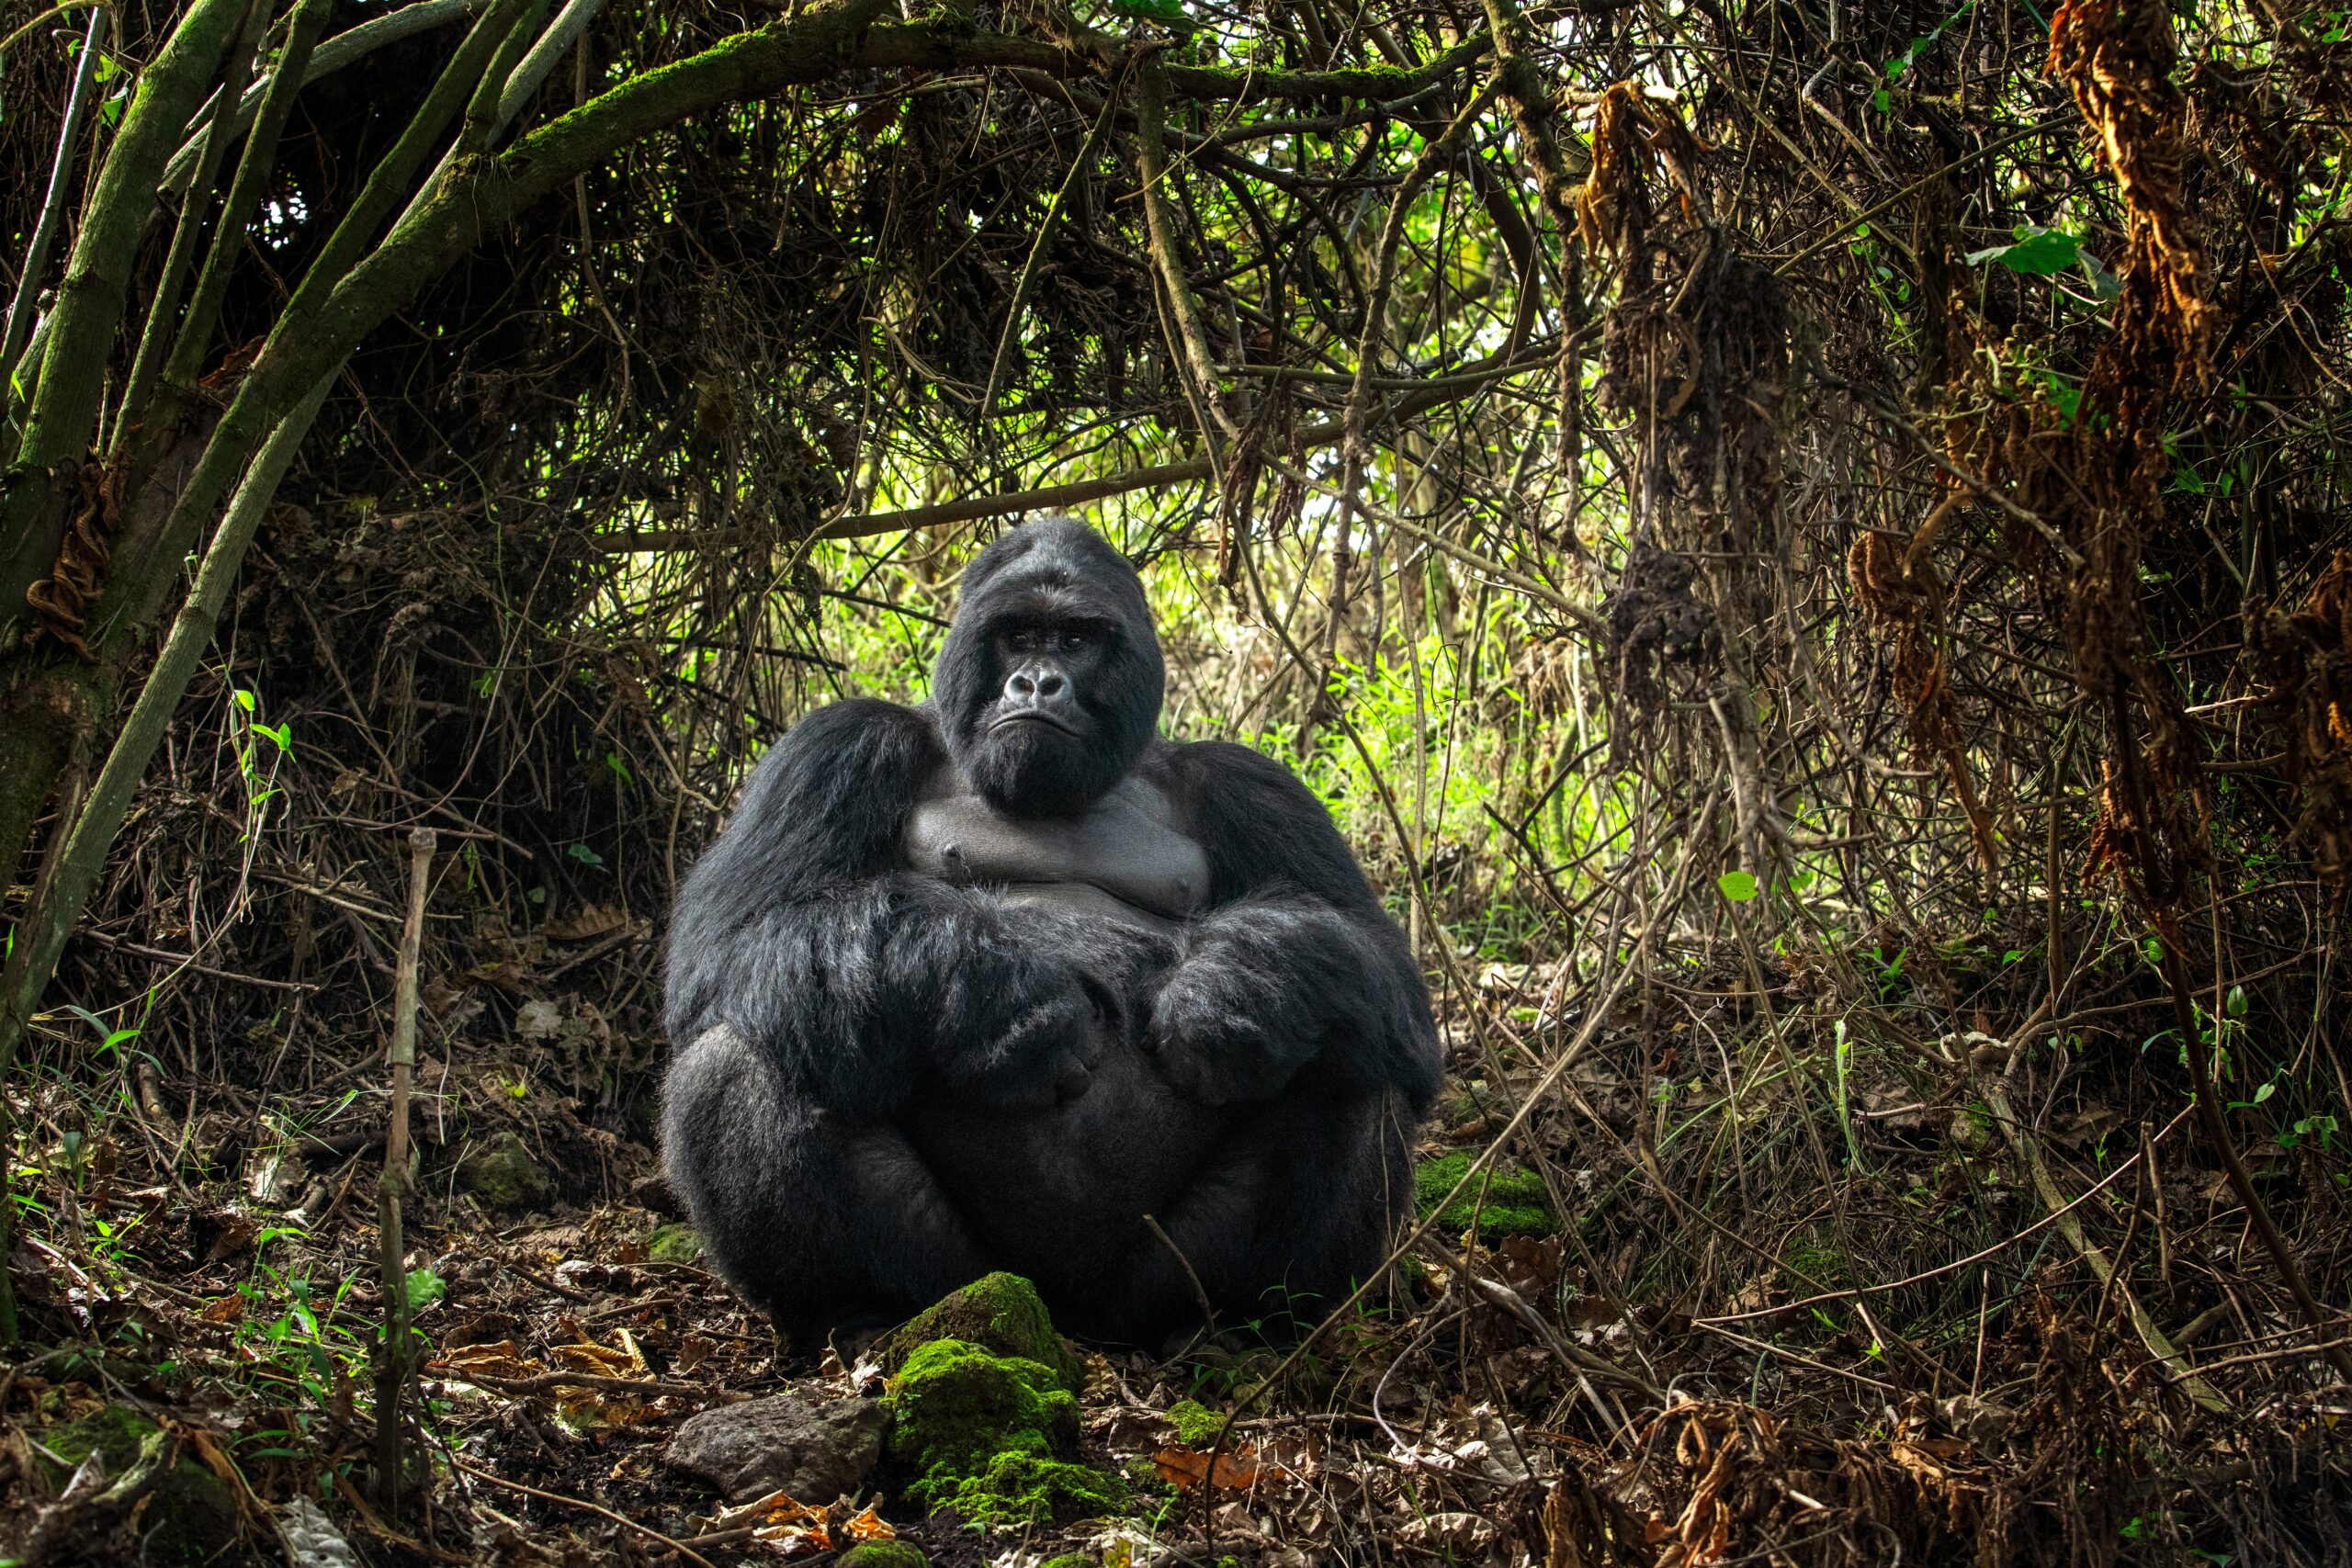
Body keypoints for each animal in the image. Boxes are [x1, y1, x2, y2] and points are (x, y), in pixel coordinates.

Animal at [653, 522, 1439, 1344]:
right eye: (1019, 636)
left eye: (1076, 639)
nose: (1036, 683)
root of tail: (1068, 1314)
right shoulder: (837, 742)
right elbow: (736, 937)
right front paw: (988, 994)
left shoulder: (1248, 781)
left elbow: (1381, 966)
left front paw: (1235, 992)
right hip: (963, 1279)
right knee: (747, 1048)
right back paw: (860, 1307)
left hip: (1152, 1285)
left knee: (1350, 1052)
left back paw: (1247, 1318)